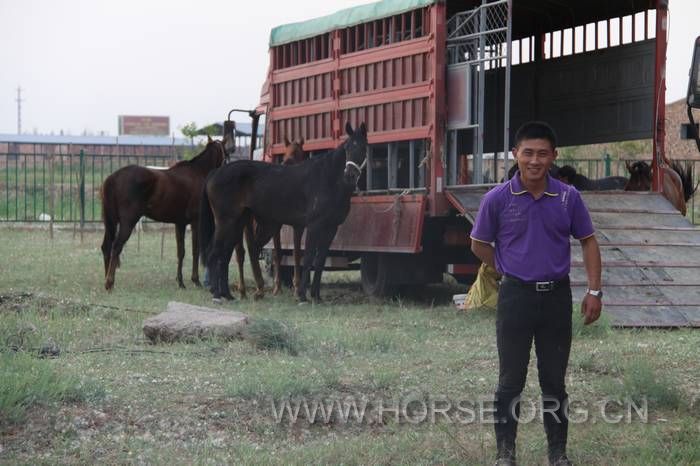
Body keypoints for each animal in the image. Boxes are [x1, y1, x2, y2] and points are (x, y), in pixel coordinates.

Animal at [101, 137, 228, 292]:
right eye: (225, 152)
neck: (198, 173)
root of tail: (113, 178)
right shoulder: (195, 222)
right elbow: (195, 250)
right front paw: (195, 280)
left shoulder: (180, 223)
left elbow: (181, 252)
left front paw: (181, 282)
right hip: (127, 223)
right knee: (116, 247)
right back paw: (109, 282)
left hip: (111, 222)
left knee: (106, 247)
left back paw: (107, 280)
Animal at [200, 122, 370, 302]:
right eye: (347, 148)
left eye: (363, 147)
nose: (350, 175)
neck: (327, 178)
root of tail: (215, 173)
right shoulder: (313, 226)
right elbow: (308, 258)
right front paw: (302, 296)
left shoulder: (331, 228)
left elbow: (320, 261)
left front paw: (316, 296)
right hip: (226, 222)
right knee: (214, 253)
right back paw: (217, 294)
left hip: (237, 223)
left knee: (225, 255)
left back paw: (227, 294)